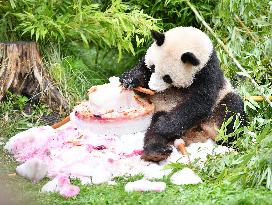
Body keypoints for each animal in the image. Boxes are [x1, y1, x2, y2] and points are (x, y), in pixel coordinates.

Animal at [120, 26, 245, 162]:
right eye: (153, 67)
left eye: (167, 78)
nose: (153, 87)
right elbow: (141, 73)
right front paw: (130, 80)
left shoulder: (208, 72)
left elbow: (199, 102)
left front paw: (163, 125)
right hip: (163, 110)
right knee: (154, 131)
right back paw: (156, 152)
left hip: (220, 104)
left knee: (232, 110)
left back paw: (229, 142)